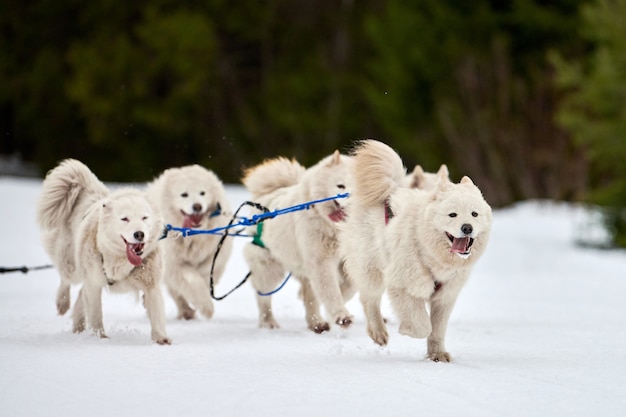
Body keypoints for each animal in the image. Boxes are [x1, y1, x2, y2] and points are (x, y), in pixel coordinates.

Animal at [36, 158, 168, 342]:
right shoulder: (94, 285)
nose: (139, 234)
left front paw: (161, 339)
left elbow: (156, 314)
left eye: (144, 218)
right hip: (71, 264)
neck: (120, 262)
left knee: (80, 296)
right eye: (125, 219)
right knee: (66, 280)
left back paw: (78, 326)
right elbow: (96, 314)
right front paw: (100, 338)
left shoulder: (151, 286)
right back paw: (62, 303)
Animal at [146, 164, 232, 320]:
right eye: (184, 194)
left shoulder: (215, 257)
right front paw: (206, 307)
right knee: (177, 294)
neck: (193, 235)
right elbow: (192, 280)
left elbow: (205, 274)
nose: (197, 206)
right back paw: (186, 311)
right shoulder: (174, 264)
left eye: (202, 193)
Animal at [241, 150, 354, 332]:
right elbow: (330, 291)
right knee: (263, 298)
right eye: (340, 186)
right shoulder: (320, 262)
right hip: (269, 268)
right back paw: (268, 322)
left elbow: (348, 289)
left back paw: (317, 323)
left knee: (309, 298)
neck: (335, 228)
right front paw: (341, 316)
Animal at [338, 141, 490, 360]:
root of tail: (390, 191)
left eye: (474, 214)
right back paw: (378, 332)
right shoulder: (402, 285)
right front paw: (407, 330)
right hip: (372, 269)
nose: (467, 227)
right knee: (369, 299)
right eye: (452, 215)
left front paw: (437, 355)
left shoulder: (445, 297)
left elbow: (437, 330)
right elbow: (423, 326)